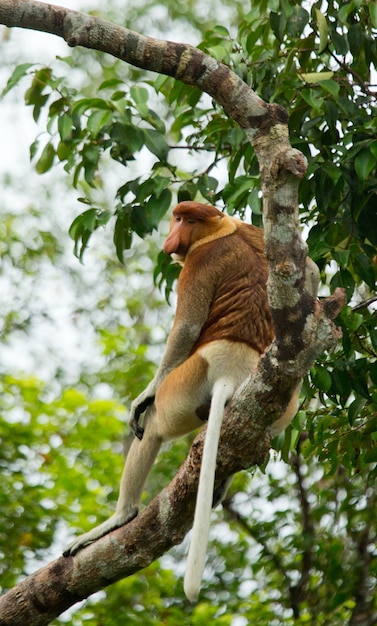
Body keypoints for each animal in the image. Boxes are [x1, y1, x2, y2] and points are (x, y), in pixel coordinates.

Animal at [63, 202, 308, 596]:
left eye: (187, 221)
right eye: (177, 217)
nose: (172, 236)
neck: (219, 231)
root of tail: (234, 372)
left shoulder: (197, 263)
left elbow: (186, 328)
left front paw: (142, 398)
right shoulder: (251, 228)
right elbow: (308, 267)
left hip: (185, 384)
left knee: (153, 426)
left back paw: (121, 516)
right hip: (280, 407)